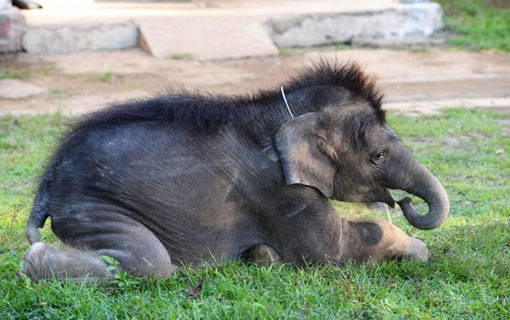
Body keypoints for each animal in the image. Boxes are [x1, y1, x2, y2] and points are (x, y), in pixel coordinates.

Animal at [21, 60, 448, 280]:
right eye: (378, 155)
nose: (404, 201)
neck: (276, 109)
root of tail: (49, 176)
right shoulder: (277, 188)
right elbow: (333, 248)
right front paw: (418, 251)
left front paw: (263, 254)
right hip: (91, 205)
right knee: (148, 262)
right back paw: (33, 263)